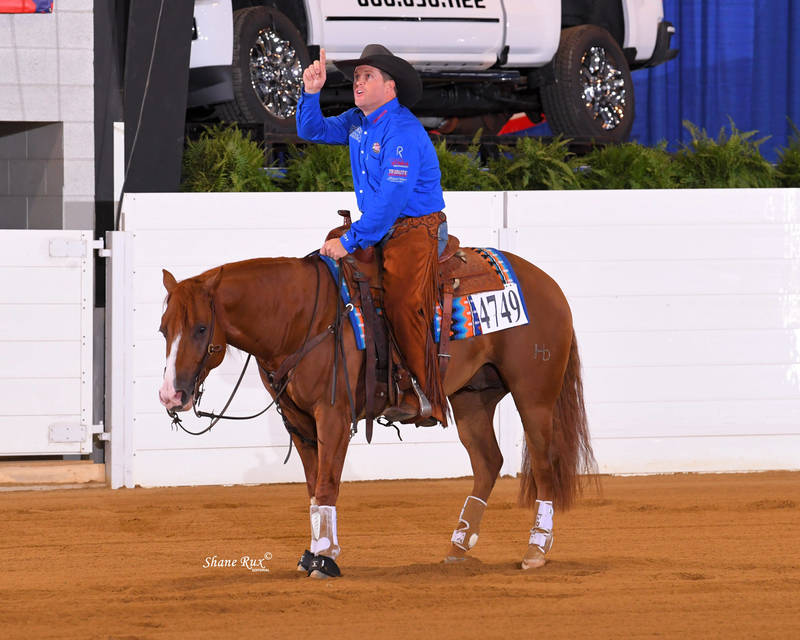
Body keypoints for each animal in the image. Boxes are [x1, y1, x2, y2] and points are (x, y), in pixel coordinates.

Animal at [158, 250, 595, 578]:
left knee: (544, 465)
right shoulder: (299, 423)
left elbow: (327, 485)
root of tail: (549, 285)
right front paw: (314, 552)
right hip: (473, 397)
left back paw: (536, 549)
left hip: (534, 397)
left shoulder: (333, 415)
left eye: (200, 328)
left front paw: (325, 560)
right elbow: (313, 488)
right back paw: (458, 545)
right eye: (164, 329)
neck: (302, 318)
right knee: (489, 462)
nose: (170, 395)